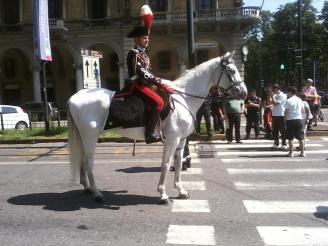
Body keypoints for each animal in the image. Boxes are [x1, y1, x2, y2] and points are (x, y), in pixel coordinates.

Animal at [67, 51, 246, 204]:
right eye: (232, 70)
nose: (244, 93)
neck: (183, 97)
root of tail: (74, 97)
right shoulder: (172, 139)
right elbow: (166, 165)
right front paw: (163, 194)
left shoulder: (181, 140)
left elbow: (178, 164)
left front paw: (181, 191)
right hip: (90, 136)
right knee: (89, 162)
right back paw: (97, 194)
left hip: (83, 137)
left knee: (82, 160)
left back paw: (87, 188)